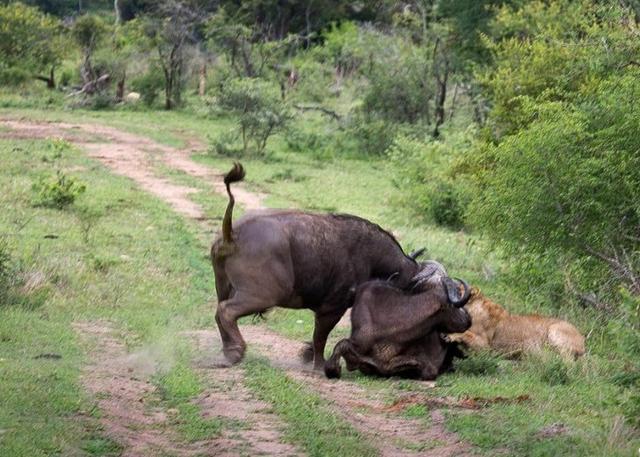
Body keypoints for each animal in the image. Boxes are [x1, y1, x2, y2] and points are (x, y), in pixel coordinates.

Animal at [212, 162, 428, 368]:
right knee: (226, 311)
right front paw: (320, 365)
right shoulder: (331, 308)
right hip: (264, 295)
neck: (371, 257)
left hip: (225, 287)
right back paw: (236, 352)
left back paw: (227, 352)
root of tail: (233, 234)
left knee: (218, 313)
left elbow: (318, 337)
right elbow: (320, 338)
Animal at [444, 286, 584, 358]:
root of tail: (582, 338)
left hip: (554, 330)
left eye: (458, 289)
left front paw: (450, 336)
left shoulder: (486, 346)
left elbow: (466, 333)